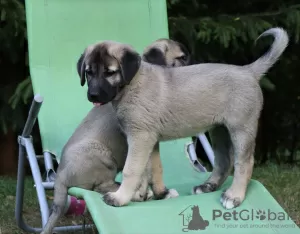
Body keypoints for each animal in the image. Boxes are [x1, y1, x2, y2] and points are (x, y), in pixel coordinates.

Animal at [40, 38, 192, 234]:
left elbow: (150, 170)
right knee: (100, 187)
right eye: (182, 58)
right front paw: (149, 193)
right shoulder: (140, 139)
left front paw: (152, 192)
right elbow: (146, 171)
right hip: (102, 155)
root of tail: (59, 177)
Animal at [77, 26, 288, 209]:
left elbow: (132, 170)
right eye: (88, 72)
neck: (132, 83)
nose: (93, 95)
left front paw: (120, 198)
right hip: (219, 129)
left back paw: (234, 196)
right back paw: (208, 186)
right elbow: (153, 169)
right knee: (223, 160)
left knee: (244, 162)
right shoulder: (149, 140)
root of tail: (248, 71)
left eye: (110, 72)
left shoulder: (140, 138)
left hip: (241, 128)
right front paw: (153, 194)